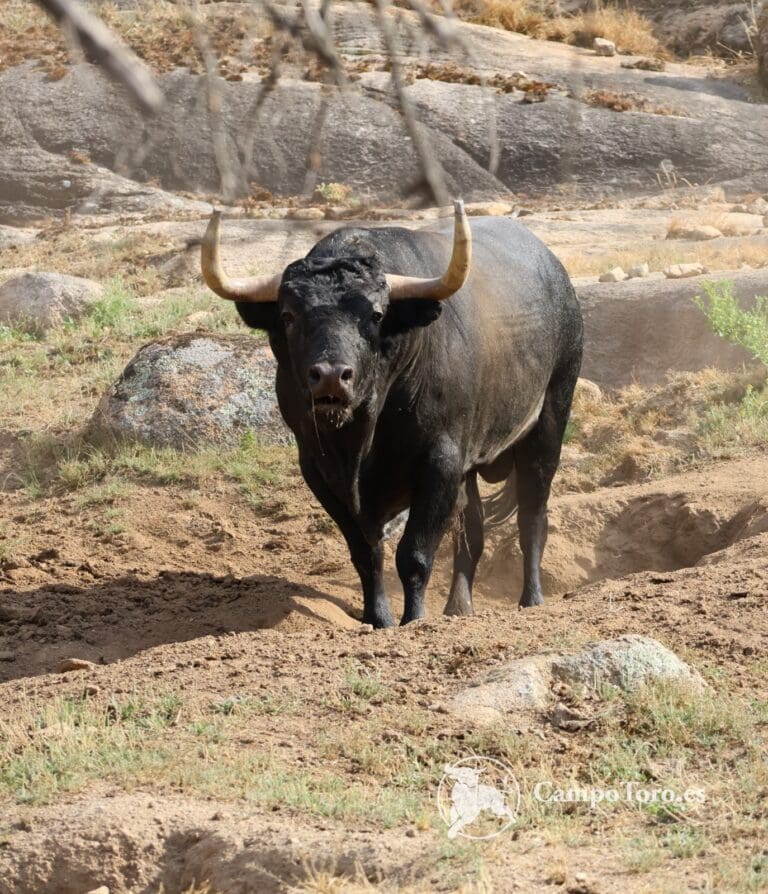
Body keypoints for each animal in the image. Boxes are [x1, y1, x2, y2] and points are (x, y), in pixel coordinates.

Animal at [200, 201, 583, 628]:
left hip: (549, 421)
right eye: (288, 315)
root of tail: (559, 279)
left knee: (532, 517)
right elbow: (366, 553)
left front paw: (412, 618)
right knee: (473, 528)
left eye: (377, 314)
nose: (331, 375)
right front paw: (377, 618)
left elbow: (415, 553)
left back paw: (531, 599)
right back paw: (458, 607)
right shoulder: (318, 469)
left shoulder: (440, 461)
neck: (360, 439)